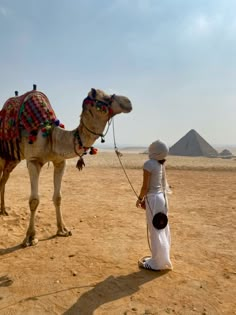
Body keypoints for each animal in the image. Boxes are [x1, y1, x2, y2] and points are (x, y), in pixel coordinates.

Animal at [0, 86, 132, 247]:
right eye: (105, 98)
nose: (128, 102)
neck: (51, 136)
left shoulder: (59, 162)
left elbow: (58, 197)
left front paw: (62, 230)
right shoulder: (33, 161)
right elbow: (34, 200)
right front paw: (30, 237)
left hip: (13, 158)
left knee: (3, 179)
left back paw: (3, 210)